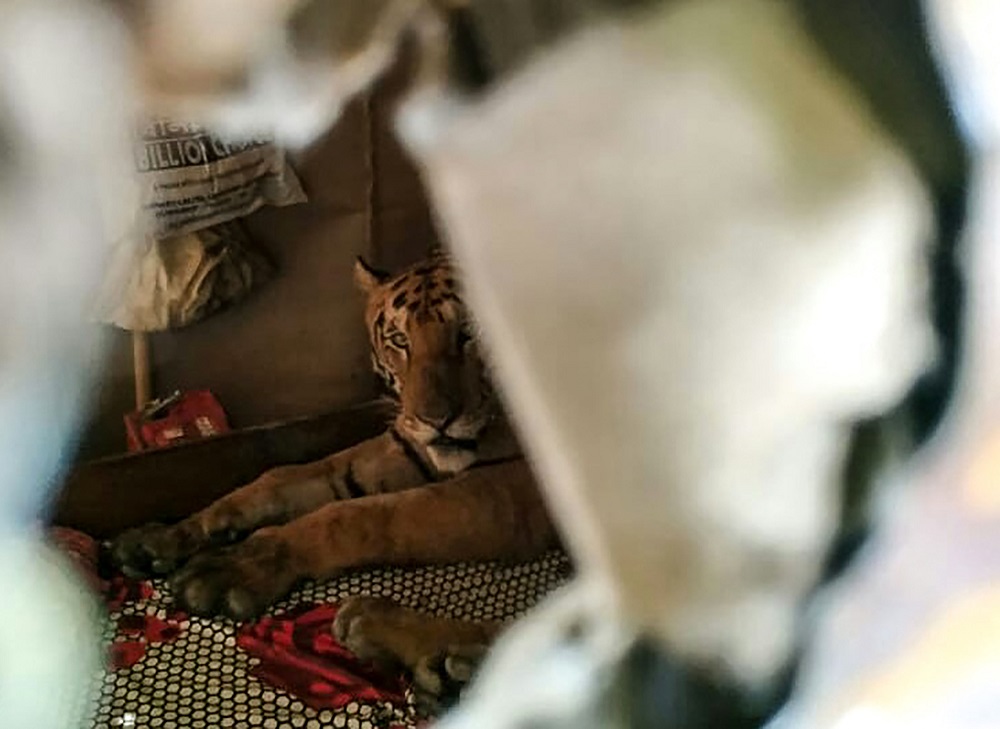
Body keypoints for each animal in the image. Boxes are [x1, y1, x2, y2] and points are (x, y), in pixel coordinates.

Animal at [111, 254, 560, 707]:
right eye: (399, 340)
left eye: (469, 331)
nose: (435, 419)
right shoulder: (404, 447)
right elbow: (287, 478)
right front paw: (165, 538)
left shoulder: (509, 492)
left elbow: (356, 516)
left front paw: (234, 568)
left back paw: (411, 643)